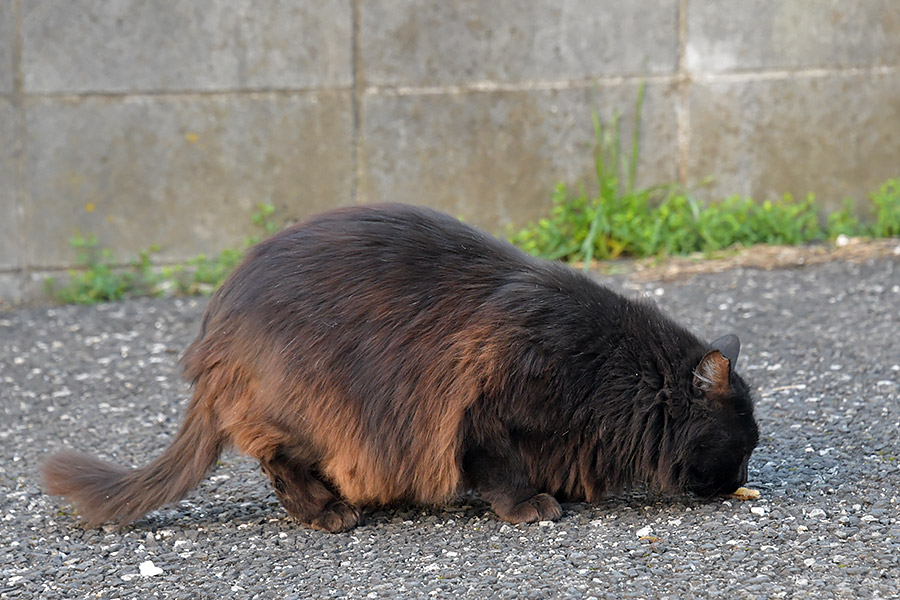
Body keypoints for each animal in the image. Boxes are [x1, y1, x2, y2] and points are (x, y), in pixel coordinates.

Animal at [44, 204, 760, 532]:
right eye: (744, 447)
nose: (741, 483)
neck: (611, 371)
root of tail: (214, 327)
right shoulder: (483, 410)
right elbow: (500, 468)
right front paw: (530, 506)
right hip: (308, 408)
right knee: (276, 461)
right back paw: (327, 513)